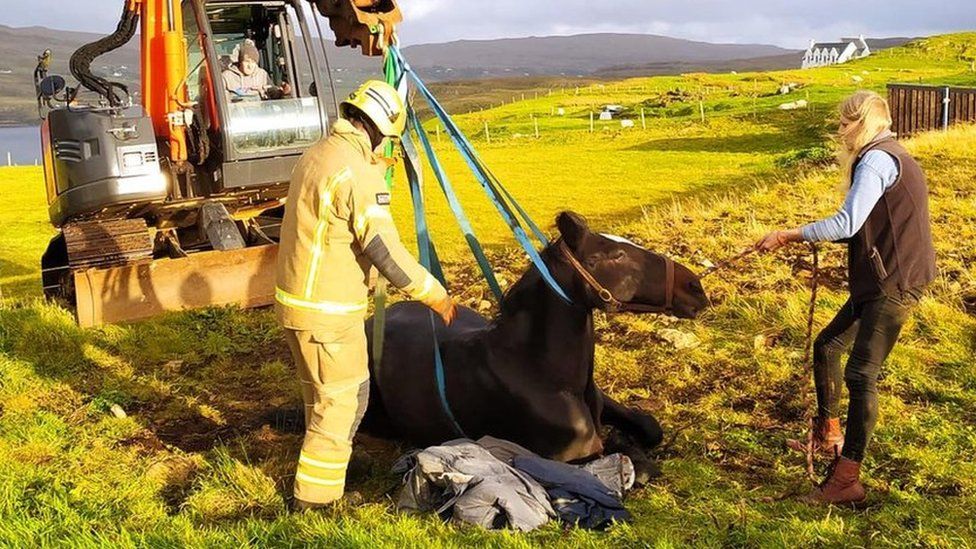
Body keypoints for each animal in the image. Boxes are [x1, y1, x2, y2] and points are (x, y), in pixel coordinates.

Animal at [362, 211, 704, 480]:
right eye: (616, 255)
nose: (695, 288)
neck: (537, 371)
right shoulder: (568, 459)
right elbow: (637, 466)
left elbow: (650, 427)